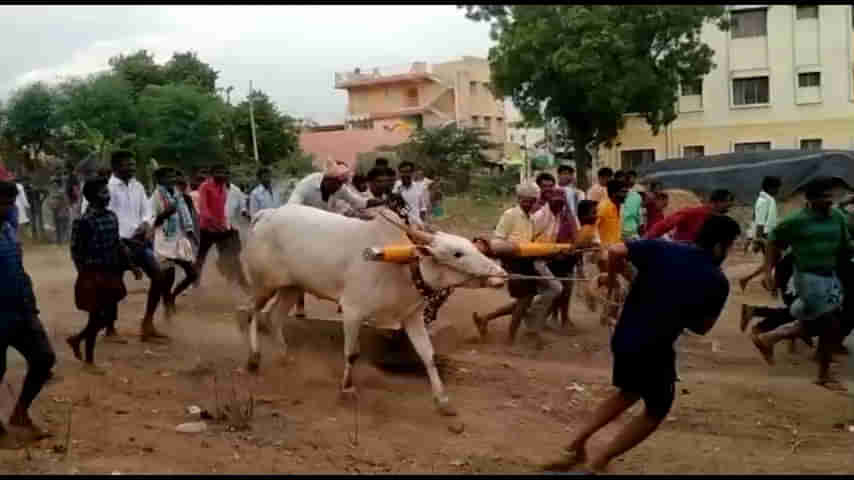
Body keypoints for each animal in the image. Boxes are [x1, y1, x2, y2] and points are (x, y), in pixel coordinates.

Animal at [241, 204, 508, 414]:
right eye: (457, 253)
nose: (501, 274)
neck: (402, 266)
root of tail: (267, 214)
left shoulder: (412, 317)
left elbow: (428, 356)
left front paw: (442, 401)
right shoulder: (352, 310)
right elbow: (352, 353)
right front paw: (347, 389)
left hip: (292, 287)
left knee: (274, 317)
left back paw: (285, 357)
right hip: (264, 284)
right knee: (252, 311)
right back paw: (253, 359)